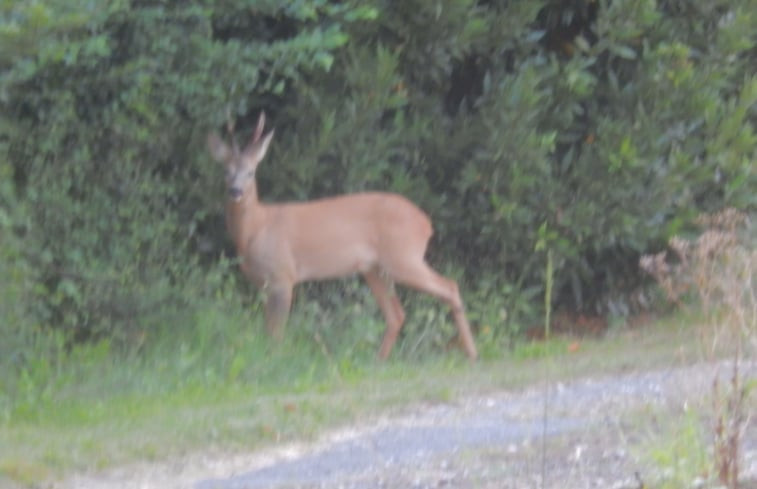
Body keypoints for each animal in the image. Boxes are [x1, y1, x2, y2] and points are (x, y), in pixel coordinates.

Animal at [207, 112, 476, 360]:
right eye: (226, 171)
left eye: (251, 172)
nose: (235, 191)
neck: (255, 230)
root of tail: (426, 223)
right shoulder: (262, 284)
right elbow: (268, 329)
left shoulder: (283, 275)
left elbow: (276, 332)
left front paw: (275, 360)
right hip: (375, 268)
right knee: (397, 314)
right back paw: (378, 361)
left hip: (403, 257)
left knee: (449, 286)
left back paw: (472, 354)